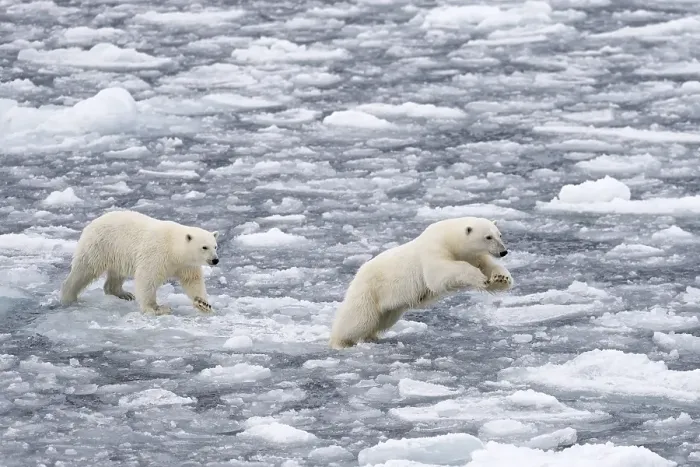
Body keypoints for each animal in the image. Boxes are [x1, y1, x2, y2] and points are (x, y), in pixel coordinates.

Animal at [60, 210, 220, 315]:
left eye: (215, 246)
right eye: (204, 247)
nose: (215, 260)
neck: (174, 248)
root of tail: (93, 222)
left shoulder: (186, 264)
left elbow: (192, 280)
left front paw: (204, 304)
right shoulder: (157, 254)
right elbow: (147, 279)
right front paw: (156, 308)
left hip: (117, 254)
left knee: (116, 274)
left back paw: (123, 294)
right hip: (100, 246)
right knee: (84, 270)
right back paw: (69, 297)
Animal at [328, 216, 513, 349]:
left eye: (500, 234)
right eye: (488, 237)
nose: (503, 251)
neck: (450, 239)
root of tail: (357, 274)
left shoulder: (474, 256)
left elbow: (489, 266)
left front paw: (501, 278)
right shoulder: (434, 250)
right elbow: (438, 274)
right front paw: (479, 277)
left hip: (390, 307)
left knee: (380, 321)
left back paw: (371, 337)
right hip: (369, 291)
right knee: (357, 320)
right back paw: (340, 342)